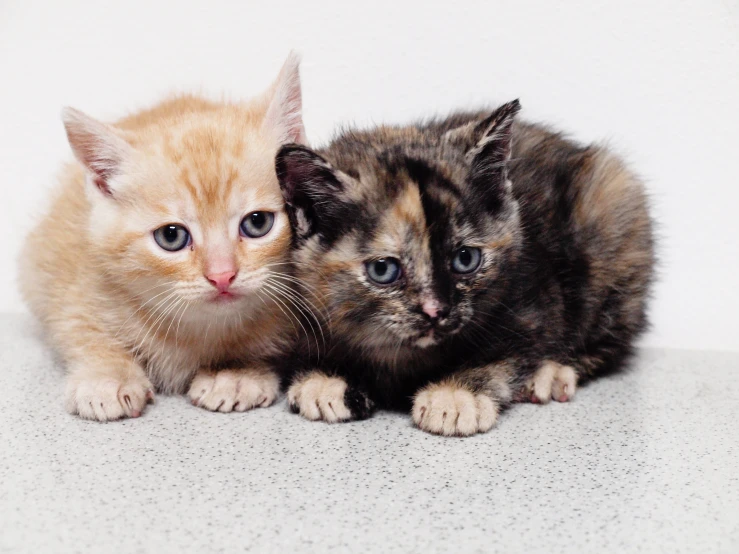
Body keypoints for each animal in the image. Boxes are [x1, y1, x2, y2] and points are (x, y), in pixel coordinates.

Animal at [19, 54, 306, 420]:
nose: (222, 275)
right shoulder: (71, 288)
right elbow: (83, 333)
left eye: (257, 223)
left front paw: (235, 373)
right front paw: (107, 377)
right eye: (172, 237)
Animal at [276, 99, 652, 436]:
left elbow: (507, 351)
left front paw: (456, 396)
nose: (436, 310)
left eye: (465, 259)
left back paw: (551, 372)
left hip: (614, 198)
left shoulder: (531, 304)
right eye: (383, 270)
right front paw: (325, 378)